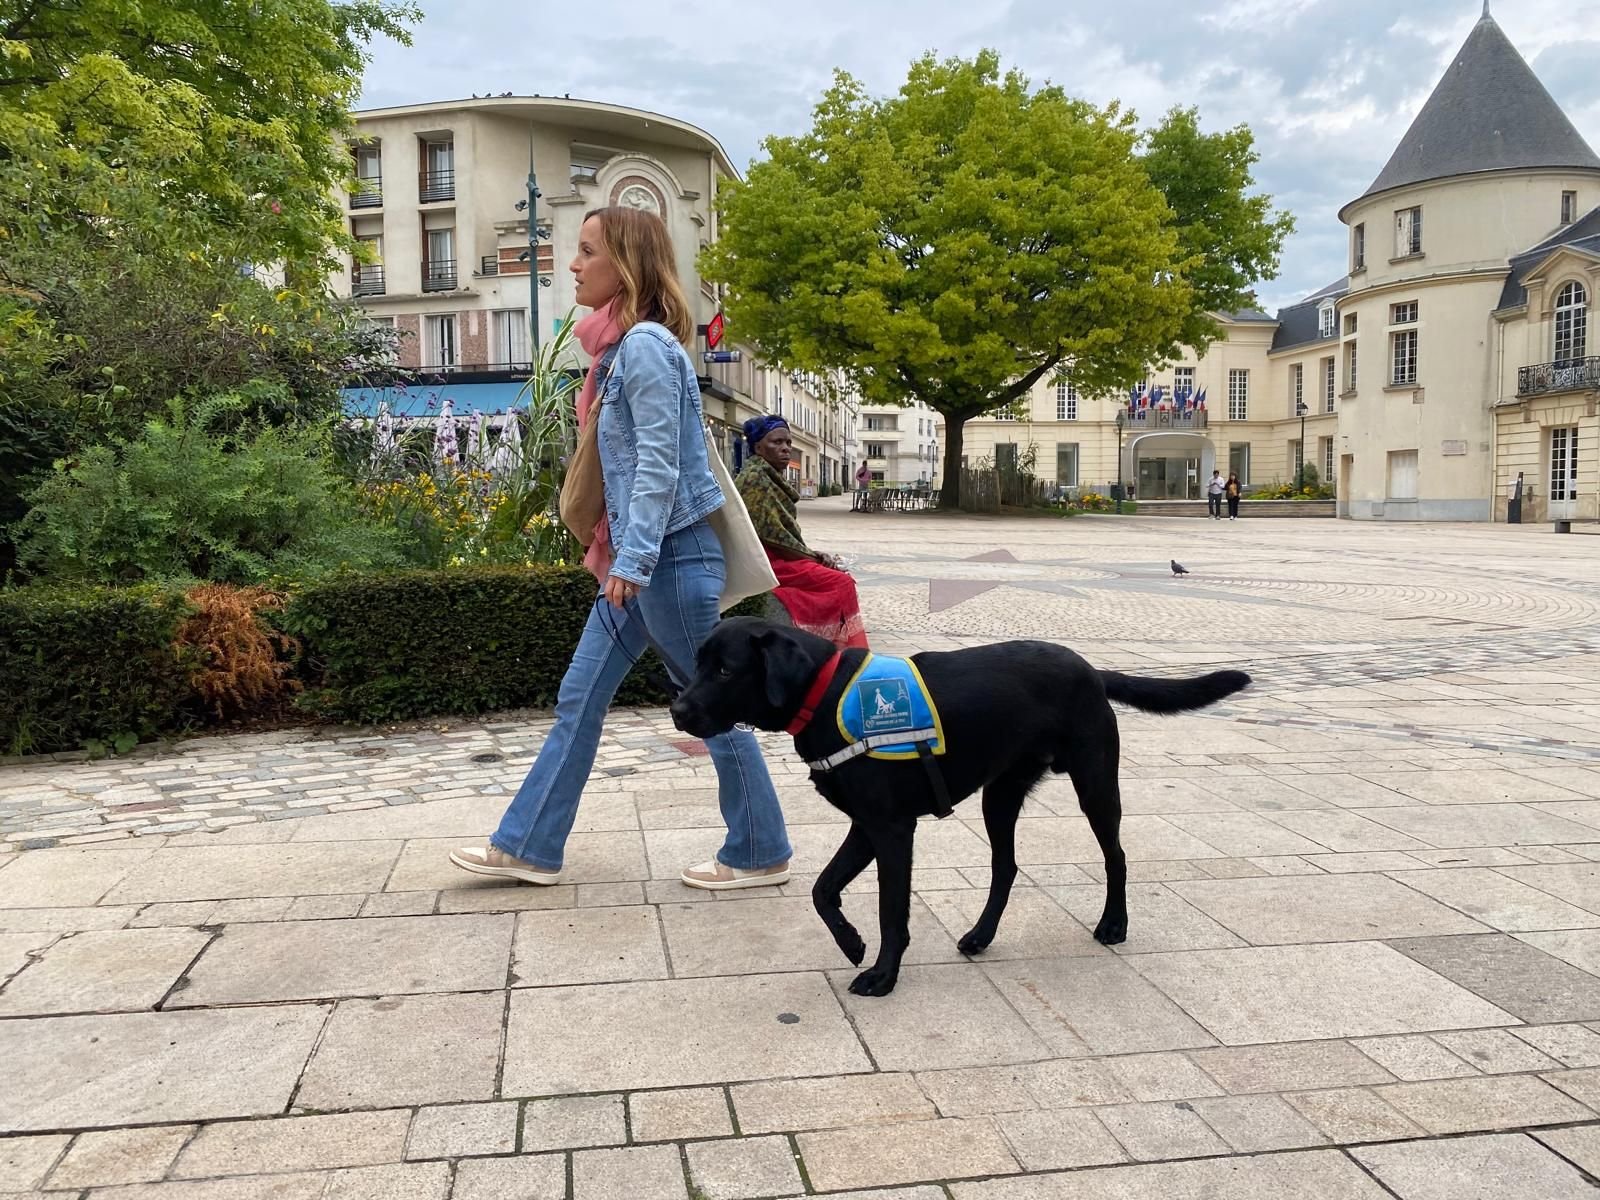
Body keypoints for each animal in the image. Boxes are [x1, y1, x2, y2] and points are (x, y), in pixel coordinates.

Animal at [668, 620, 1254, 998]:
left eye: (725, 671)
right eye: (698, 665)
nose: (676, 710)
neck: (824, 692)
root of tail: (1090, 668)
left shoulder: (891, 828)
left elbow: (891, 912)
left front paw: (882, 975)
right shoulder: (867, 825)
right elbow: (822, 889)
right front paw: (853, 944)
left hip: (1094, 784)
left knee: (1116, 857)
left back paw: (1113, 924)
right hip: (1001, 795)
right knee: (1006, 866)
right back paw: (981, 935)